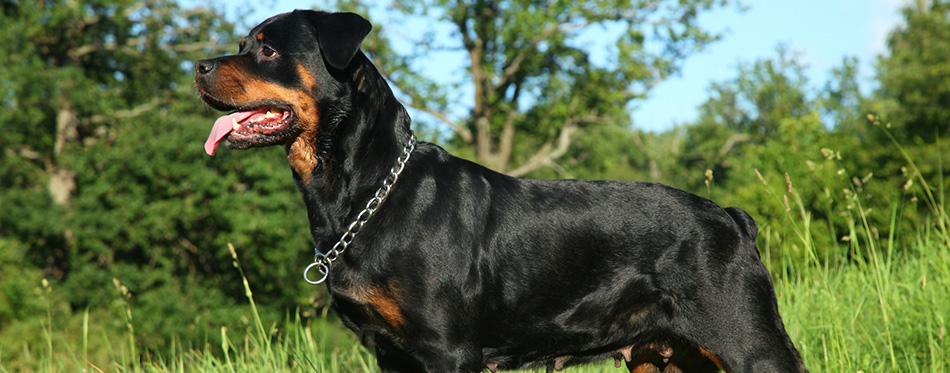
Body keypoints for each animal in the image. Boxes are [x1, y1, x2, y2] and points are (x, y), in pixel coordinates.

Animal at [197, 10, 808, 370]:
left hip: (748, 343)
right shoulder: (391, 354)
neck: (368, 192)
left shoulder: (448, 350)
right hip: (670, 356)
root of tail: (731, 217)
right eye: (243, 43)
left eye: (267, 50)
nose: (199, 65)